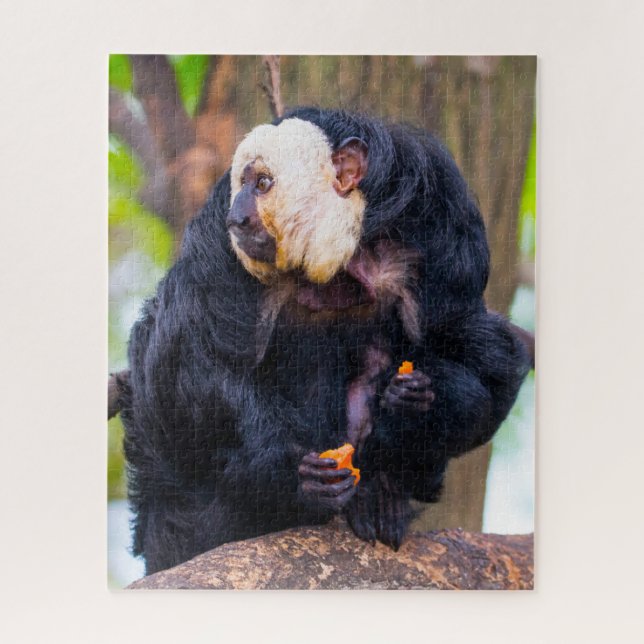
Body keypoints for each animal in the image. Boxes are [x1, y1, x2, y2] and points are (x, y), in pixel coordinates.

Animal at [121, 107, 530, 574]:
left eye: (262, 184)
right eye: (241, 186)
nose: (236, 217)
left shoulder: (446, 232)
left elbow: (485, 359)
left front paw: (419, 402)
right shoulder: (215, 249)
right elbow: (183, 365)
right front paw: (293, 480)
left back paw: (378, 493)